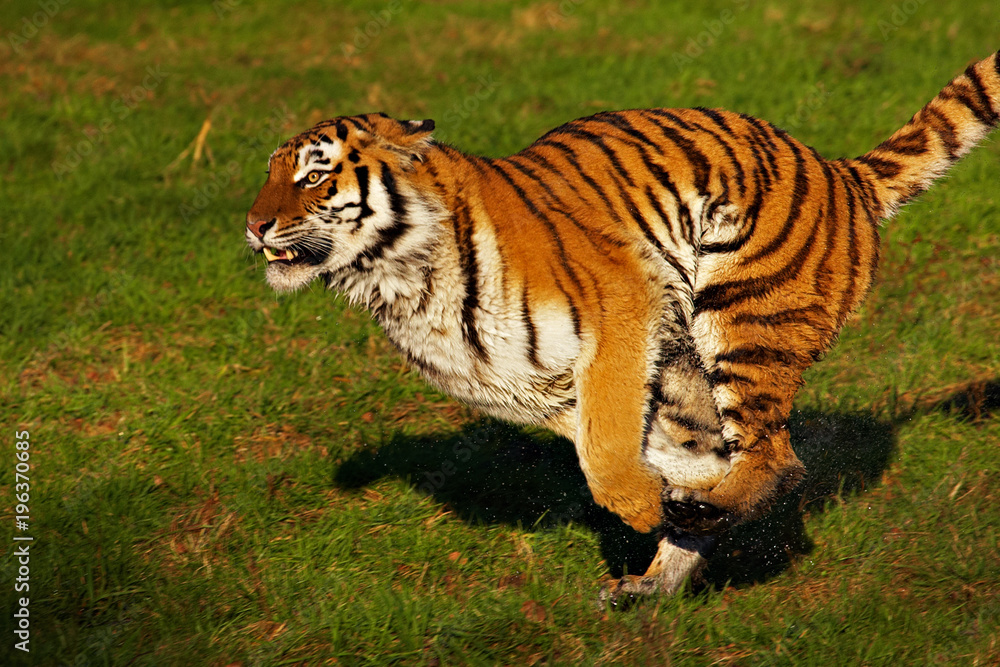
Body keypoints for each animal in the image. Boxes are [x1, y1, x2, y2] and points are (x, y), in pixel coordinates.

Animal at [245, 51, 1000, 602]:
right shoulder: (536, 385)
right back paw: (655, 581)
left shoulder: (622, 304)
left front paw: (643, 506)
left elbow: (606, 452)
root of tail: (842, 172)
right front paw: (661, 507)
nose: (253, 226)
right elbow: (615, 441)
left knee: (777, 458)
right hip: (692, 370)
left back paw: (690, 522)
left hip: (743, 314)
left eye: (314, 176)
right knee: (734, 455)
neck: (399, 280)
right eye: (270, 174)